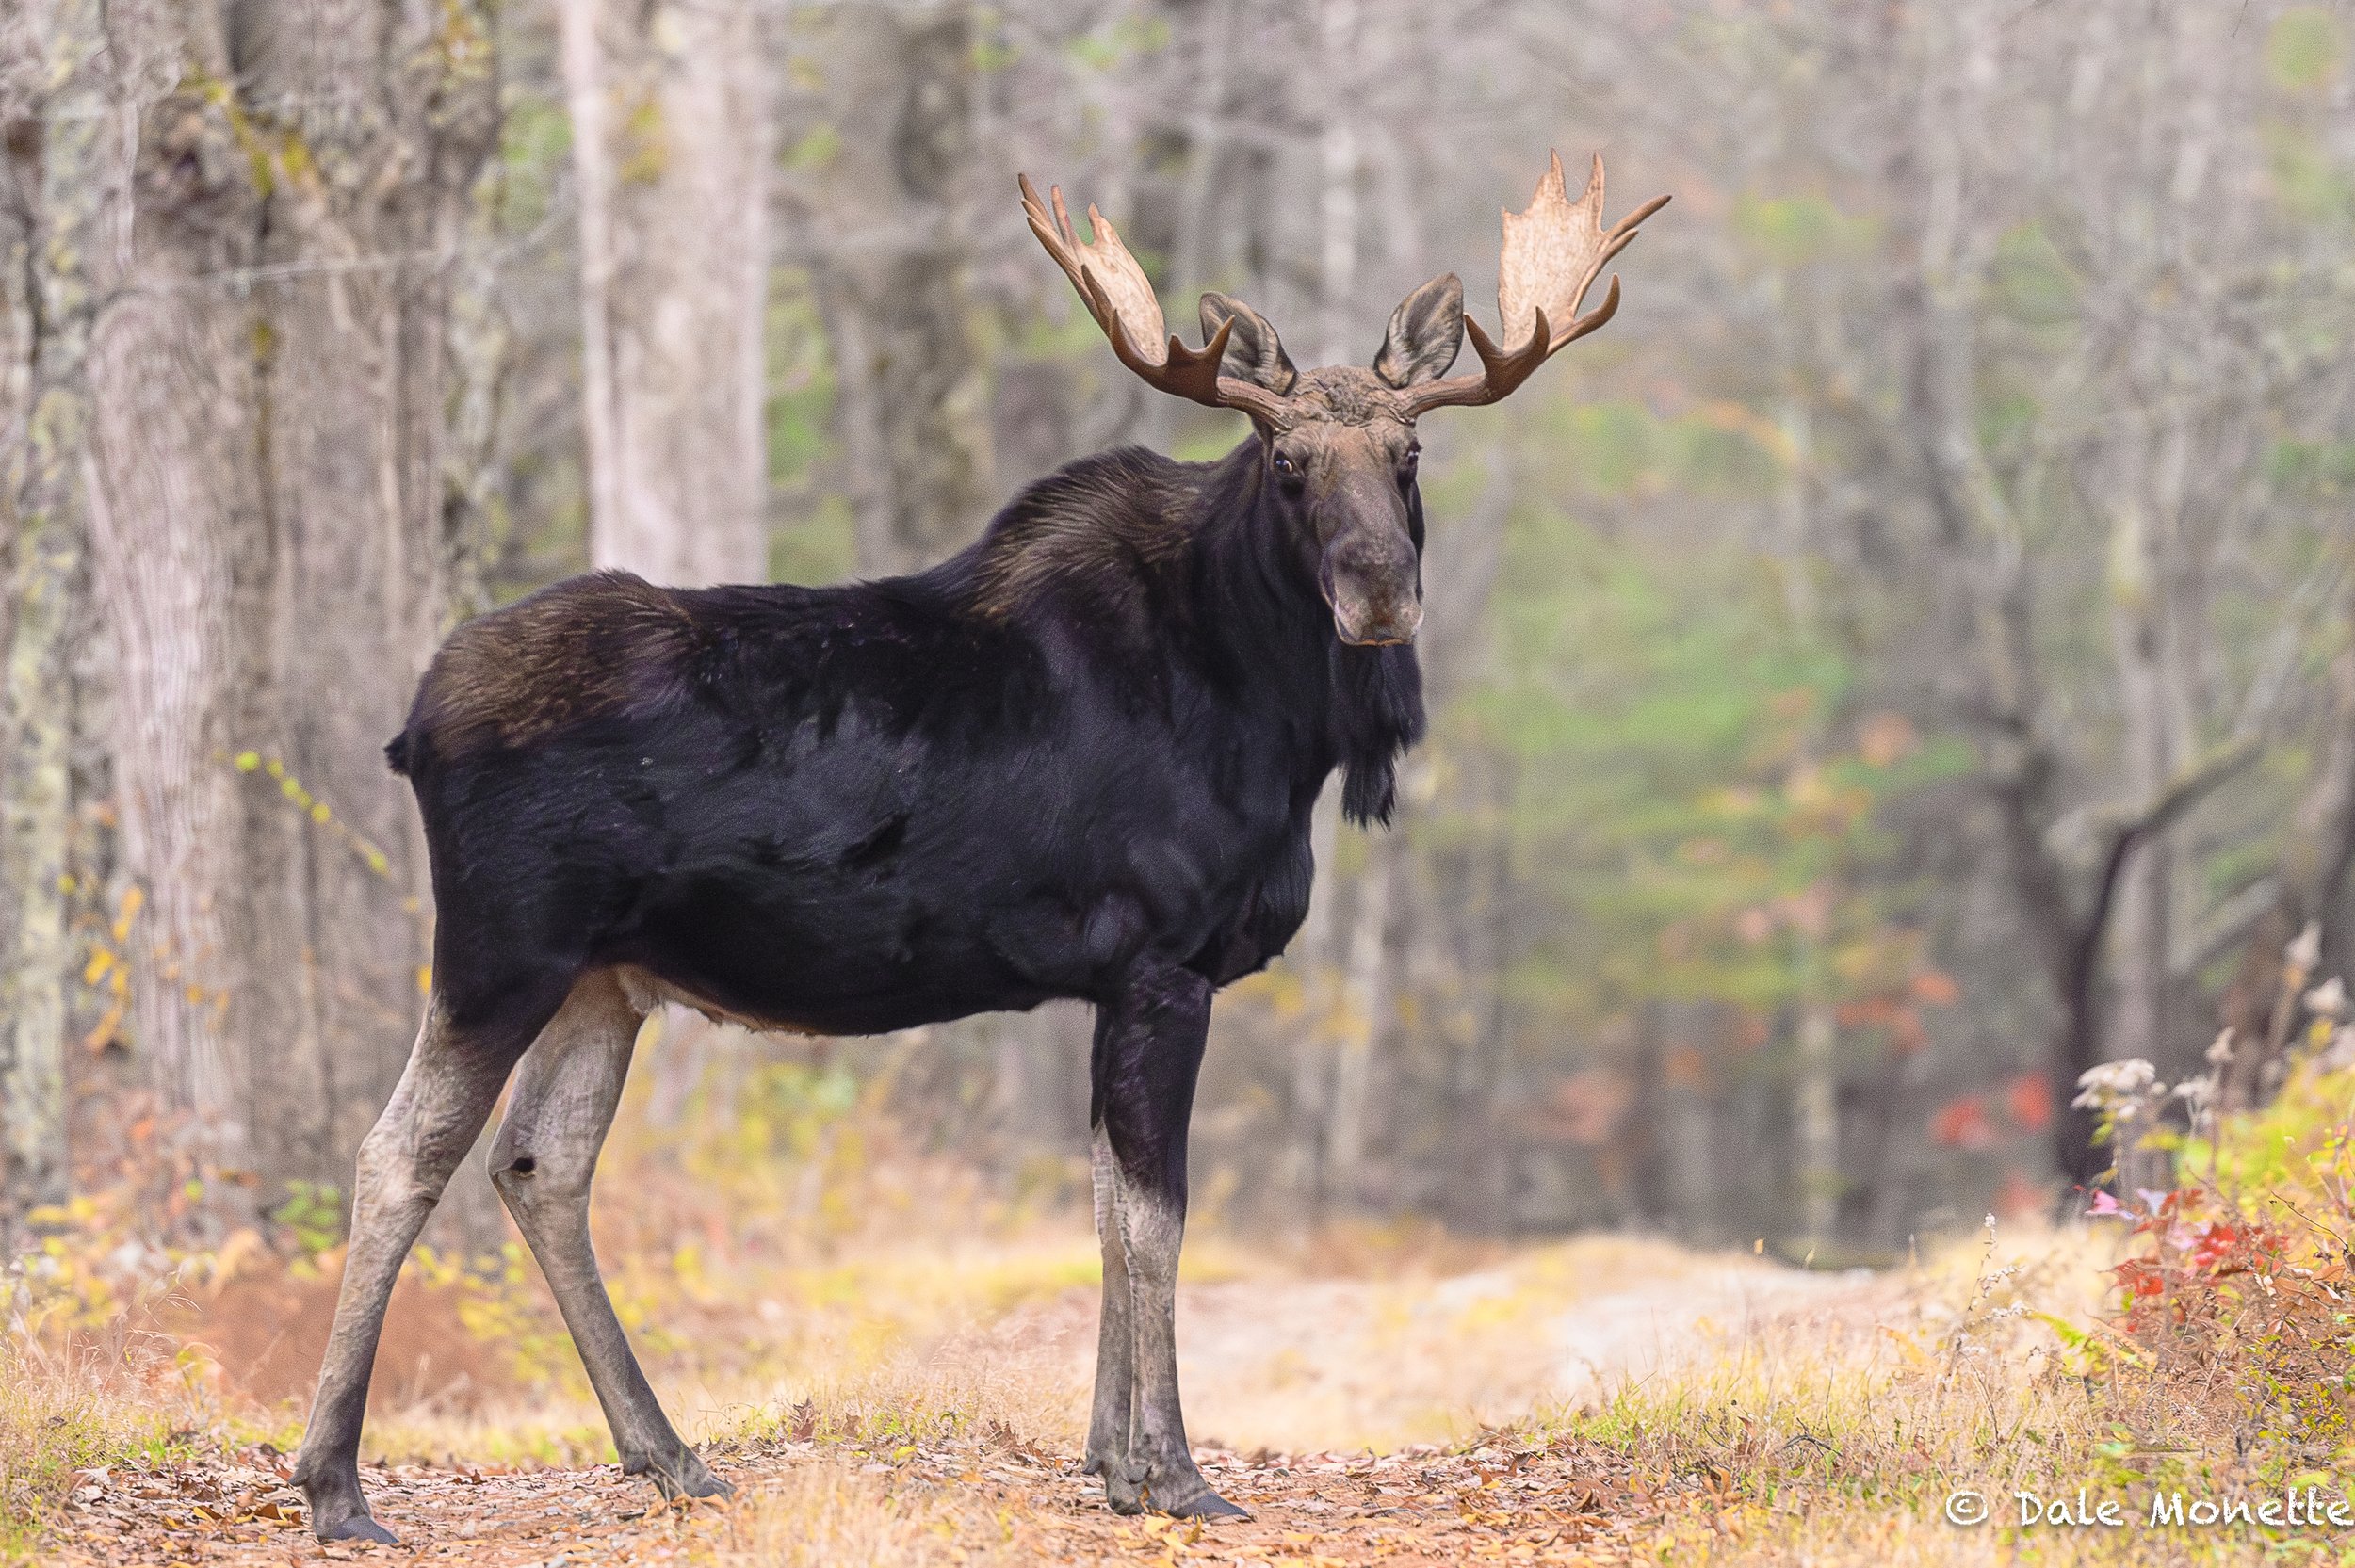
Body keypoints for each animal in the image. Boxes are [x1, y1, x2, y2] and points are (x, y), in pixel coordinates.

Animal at [289, 149, 1658, 1535]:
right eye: (1285, 461)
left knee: (539, 1164)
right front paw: (1176, 1472)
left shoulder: (1111, 981)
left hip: (607, 977)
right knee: (398, 1155)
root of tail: (415, 724)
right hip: (503, 947)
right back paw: (335, 1480)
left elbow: (1105, 1205)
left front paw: (1110, 1461)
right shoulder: (1163, 961)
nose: (1379, 591)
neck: (1278, 723)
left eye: (1411, 449)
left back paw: (664, 1451)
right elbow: (1156, 1219)